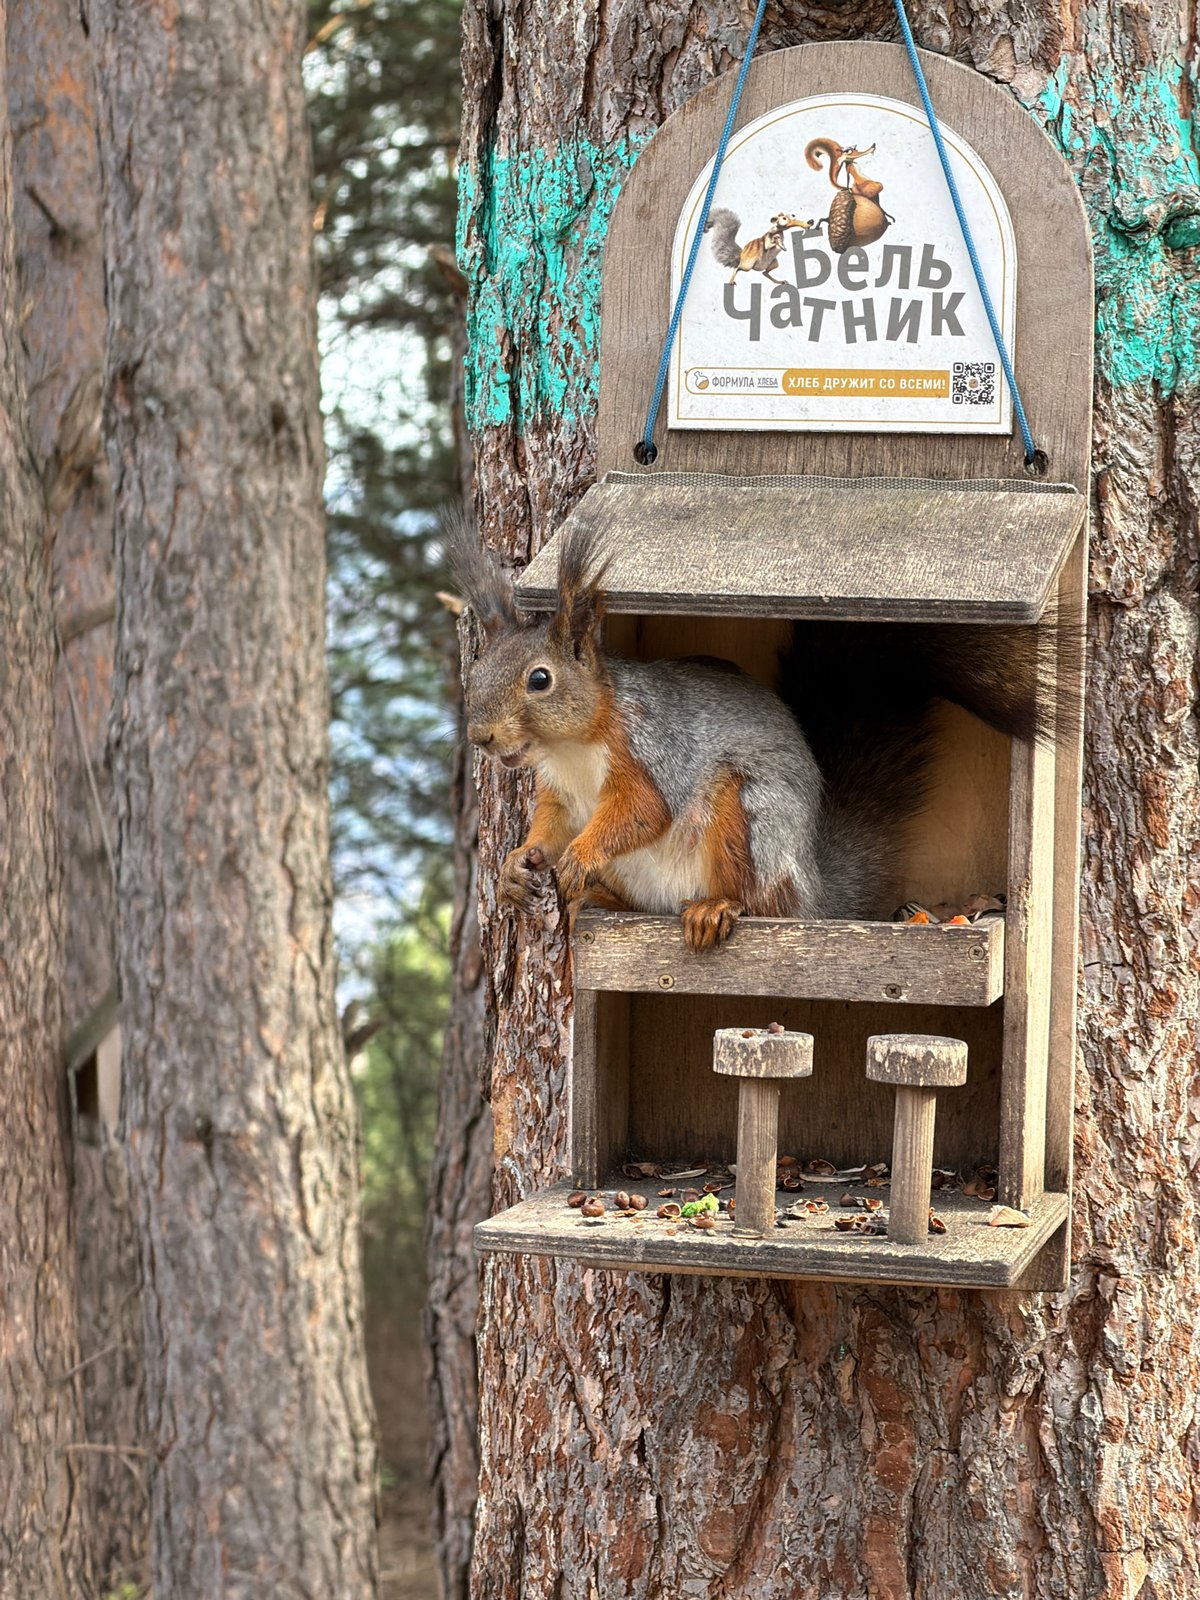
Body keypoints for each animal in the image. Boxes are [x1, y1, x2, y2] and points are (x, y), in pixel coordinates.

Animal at [450, 519, 1068, 954]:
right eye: (475, 672)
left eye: (540, 679)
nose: (481, 737)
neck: (572, 748)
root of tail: (812, 890)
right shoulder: (560, 791)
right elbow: (549, 826)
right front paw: (517, 865)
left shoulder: (653, 749)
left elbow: (643, 810)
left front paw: (580, 856)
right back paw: (601, 899)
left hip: (749, 818)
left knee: (756, 899)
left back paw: (713, 908)